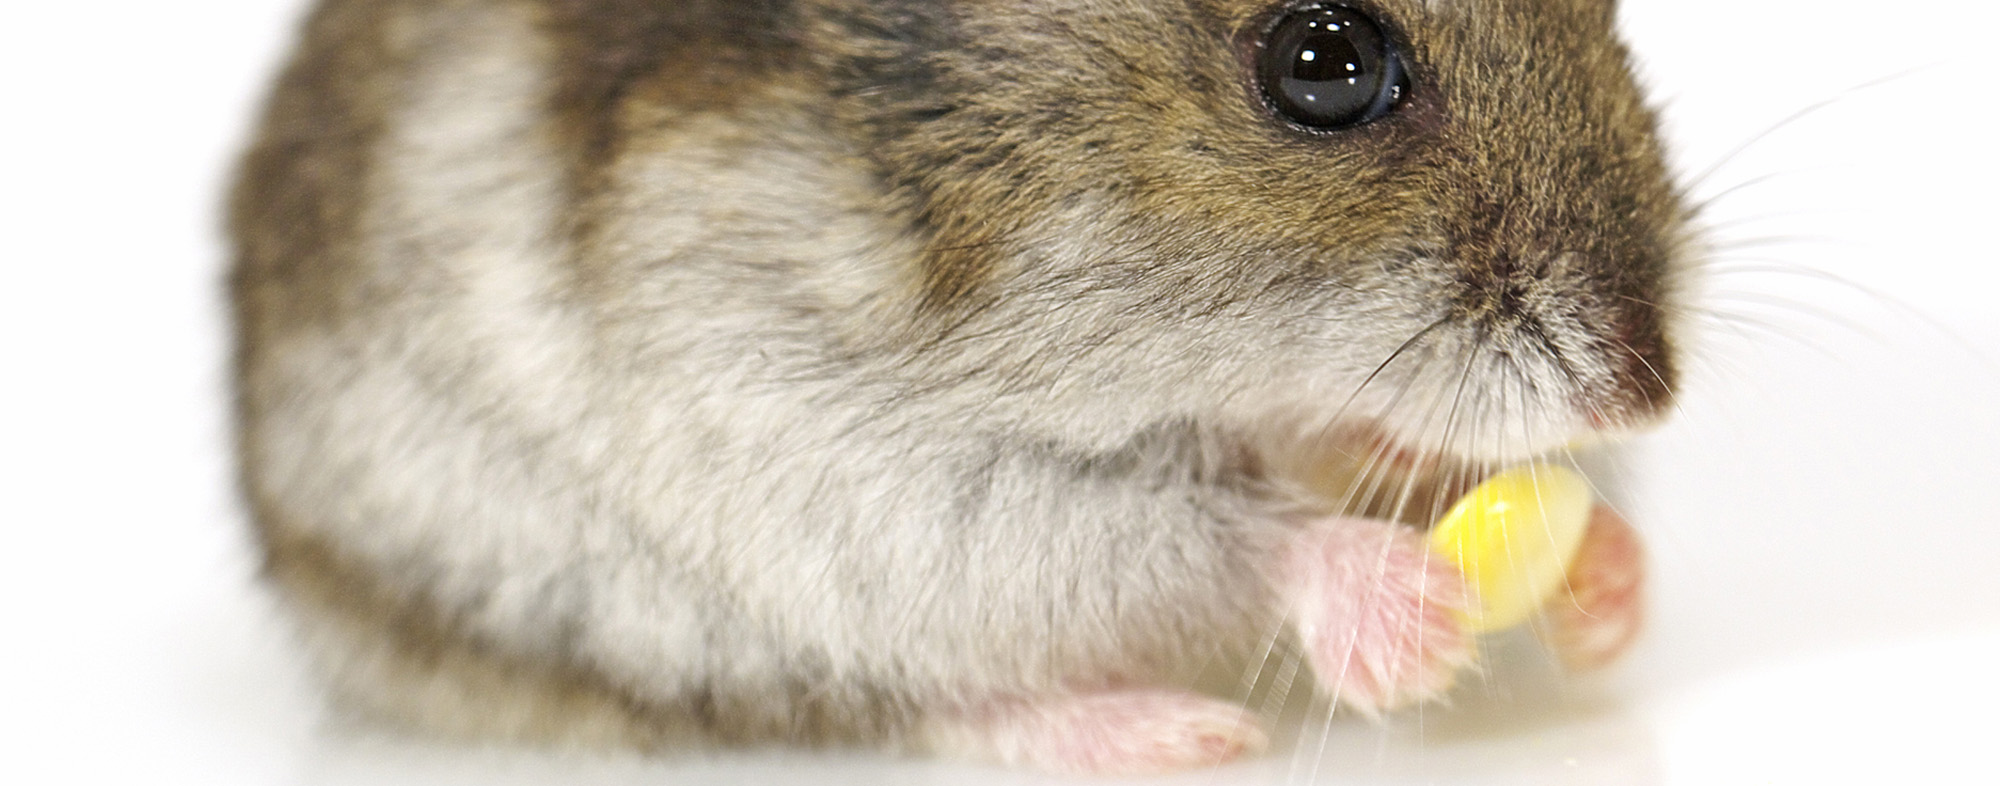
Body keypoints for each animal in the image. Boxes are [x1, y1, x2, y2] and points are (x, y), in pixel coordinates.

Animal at [227, 0, 1680, 772]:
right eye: (1322, 62)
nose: (1645, 399)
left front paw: (1609, 583)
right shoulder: (829, 440)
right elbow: (1203, 533)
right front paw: (1404, 610)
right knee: (919, 697)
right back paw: (1177, 734)